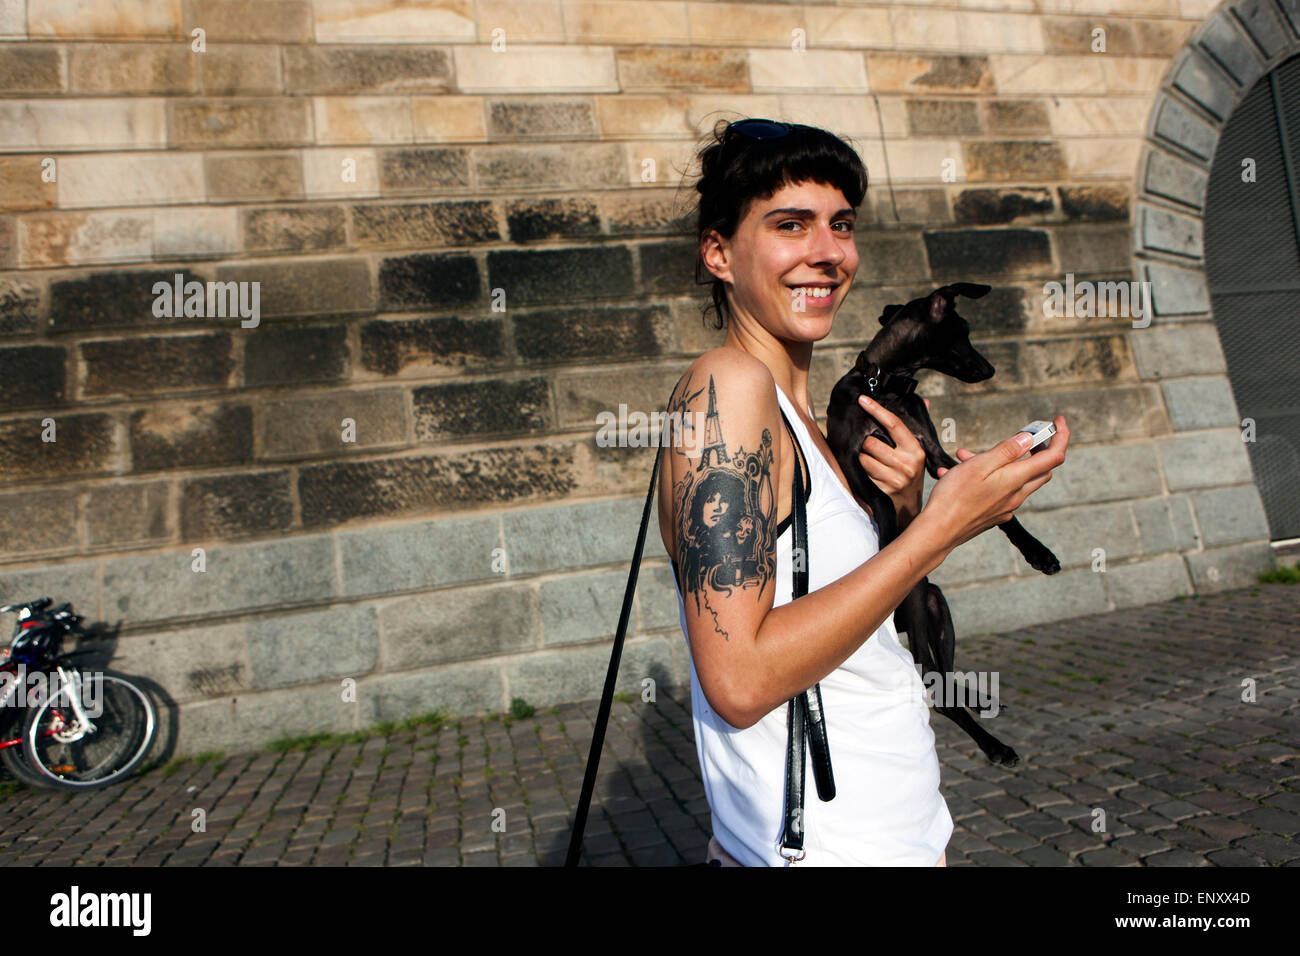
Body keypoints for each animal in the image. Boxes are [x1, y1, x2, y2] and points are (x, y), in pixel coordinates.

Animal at [826, 280, 1060, 764]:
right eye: (963, 330)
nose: (990, 369)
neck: (885, 385)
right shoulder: (850, 456)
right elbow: (882, 499)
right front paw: (889, 539)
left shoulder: (933, 455)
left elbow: (1005, 516)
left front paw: (1039, 552)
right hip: (918, 613)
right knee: (937, 689)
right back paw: (994, 745)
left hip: (936, 606)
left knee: (946, 678)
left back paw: (981, 703)